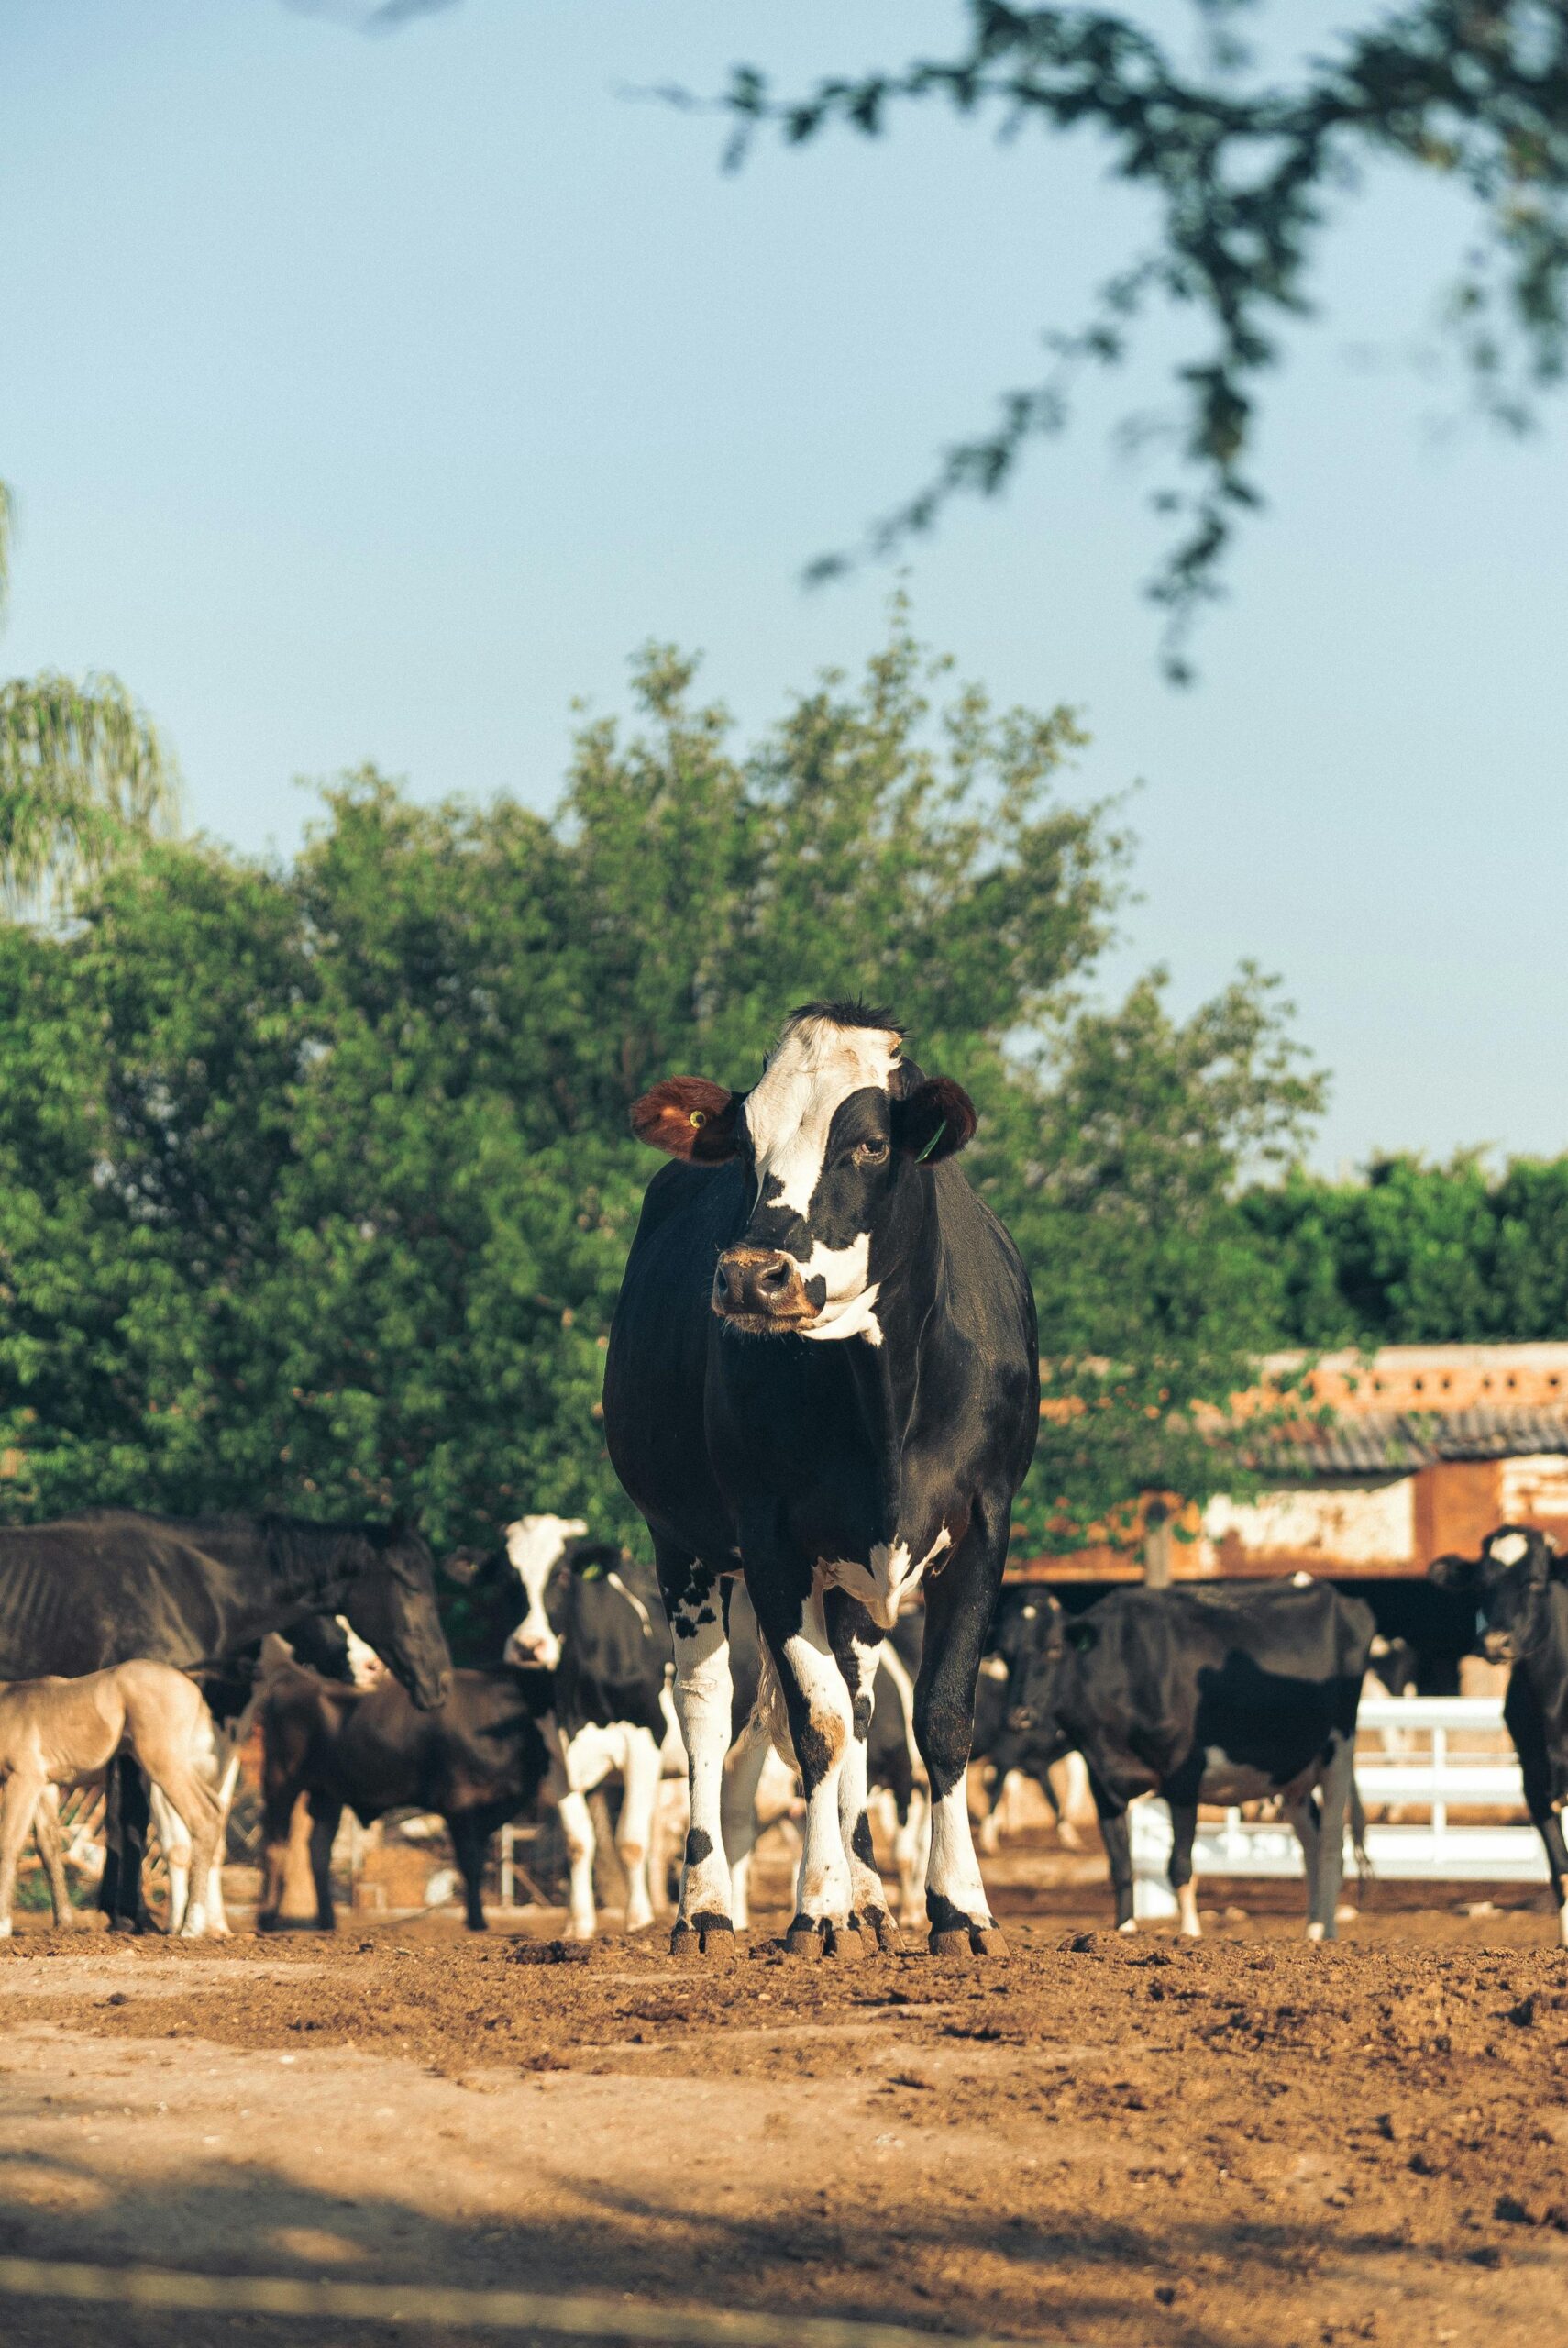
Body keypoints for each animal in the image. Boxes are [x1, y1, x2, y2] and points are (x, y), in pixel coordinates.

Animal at [0, 1510, 452, 1929]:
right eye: (411, 1586)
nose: (438, 1680)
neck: (183, 1583)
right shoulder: (148, 1748)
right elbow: (144, 1824)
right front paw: (143, 1919)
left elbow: (170, 1825)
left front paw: (188, 1922)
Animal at [257, 1663, 556, 1932]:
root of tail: (289, 1678)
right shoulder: (460, 1803)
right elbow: (471, 1862)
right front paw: (477, 1922)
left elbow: (478, 1861)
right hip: (281, 1782)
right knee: (275, 1845)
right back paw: (267, 1919)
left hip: (328, 1793)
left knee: (318, 1849)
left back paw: (327, 1921)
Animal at [444, 1524, 676, 1936]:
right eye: (505, 1579)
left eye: (564, 1574)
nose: (528, 1646)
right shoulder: (555, 1754)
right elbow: (578, 1841)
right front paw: (578, 1925)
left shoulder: (645, 1740)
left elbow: (631, 1840)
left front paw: (639, 1921)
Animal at [604, 1000, 1039, 1961]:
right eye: (743, 1145)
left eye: (871, 1144)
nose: (748, 1277)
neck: (884, 1400)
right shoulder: (769, 1539)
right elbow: (816, 1725)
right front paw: (818, 1907)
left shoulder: (984, 1524)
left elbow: (939, 1720)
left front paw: (959, 1907)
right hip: (683, 1547)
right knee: (709, 1711)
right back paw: (709, 1908)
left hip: (852, 1589)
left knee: (866, 1705)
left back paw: (875, 1897)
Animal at [999, 1579, 1375, 1940]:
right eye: (1004, 1653)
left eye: (1054, 1649)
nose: (1019, 1716)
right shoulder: (1102, 1785)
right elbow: (1120, 1866)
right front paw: (1124, 1930)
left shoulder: (1184, 1777)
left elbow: (1179, 1865)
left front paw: (1190, 1932)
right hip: (1293, 1774)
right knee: (1310, 1843)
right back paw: (1312, 1928)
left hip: (1338, 1749)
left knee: (1331, 1845)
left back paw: (1328, 1931)